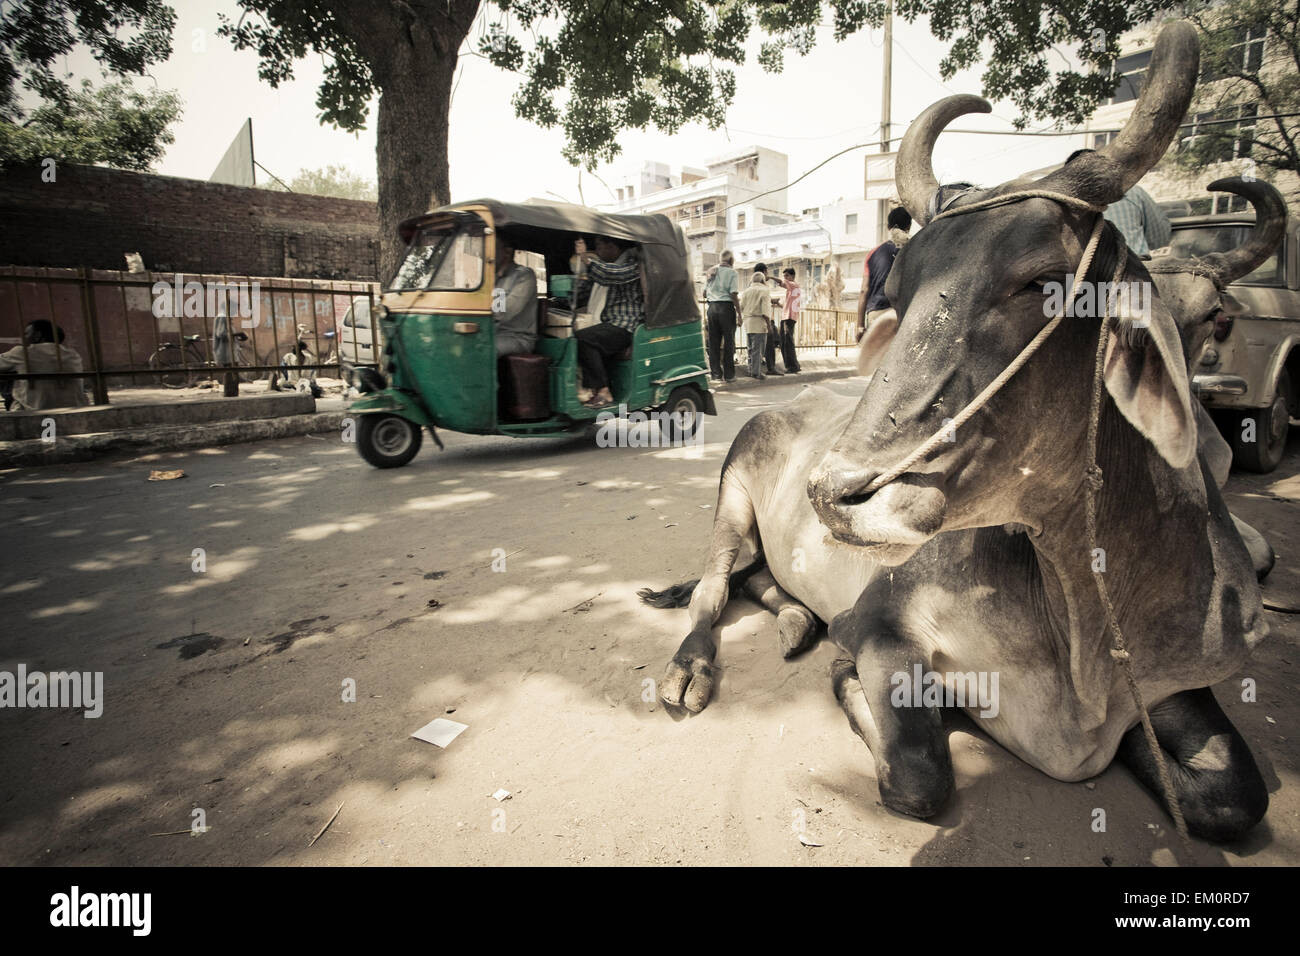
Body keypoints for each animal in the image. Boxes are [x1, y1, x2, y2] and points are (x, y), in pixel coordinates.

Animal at [639, 22, 1279, 842]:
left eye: (1042, 282)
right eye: (901, 289)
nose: (833, 494)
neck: (1076, 620)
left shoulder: (1173, 686)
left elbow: (1234, 795)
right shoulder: (882, 630)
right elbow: (918, 778)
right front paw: (851, 685)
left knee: (757, 580)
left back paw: (793, 621)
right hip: (729, 498)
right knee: (716, 587)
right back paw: (692, 666)